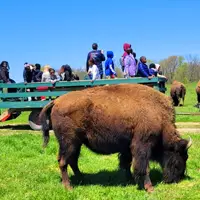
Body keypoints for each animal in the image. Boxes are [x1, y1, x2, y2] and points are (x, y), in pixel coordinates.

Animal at [39, 83, 191, 192]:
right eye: (182, 156)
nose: (179, 178)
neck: (158, 114)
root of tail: (56, 101)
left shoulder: (128, 148)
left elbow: (127, 163)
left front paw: (130, 180)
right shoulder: (142, 145)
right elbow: (143, 167)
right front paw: (150, 188)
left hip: (76, 143)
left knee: (72, 161)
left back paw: (82, 179)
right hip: (69, 142)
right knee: (63, 161)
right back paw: (69, 187)